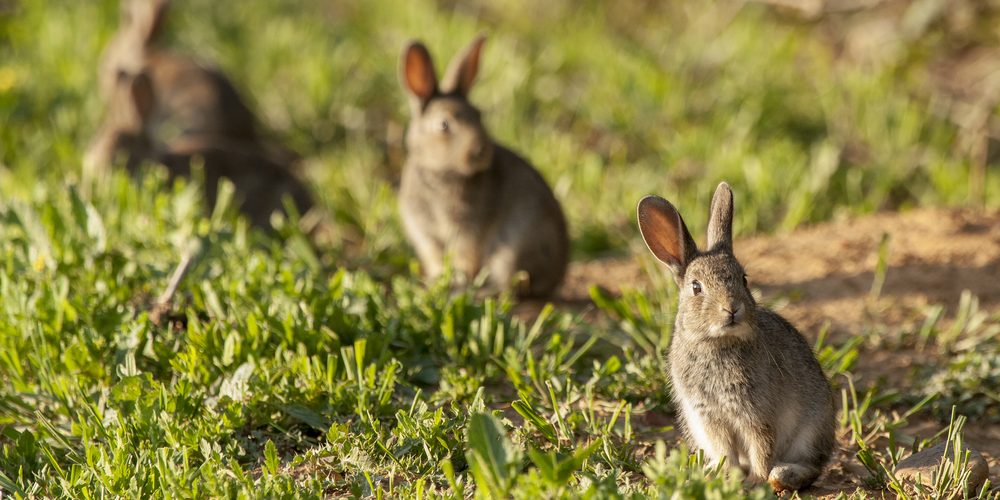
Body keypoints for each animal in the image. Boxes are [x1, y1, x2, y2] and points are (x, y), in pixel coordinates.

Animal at [632, 182, 836, 490]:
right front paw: (728, 477)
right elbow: (727, 451)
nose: (732, 308)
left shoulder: (756, 414)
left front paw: (757, 481)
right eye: (696, 287)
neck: (716, 343)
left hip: (811, 429)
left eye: (744, 279)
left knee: (812, 466)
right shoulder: (710, 418)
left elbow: (761, 447)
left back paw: (782, 475)